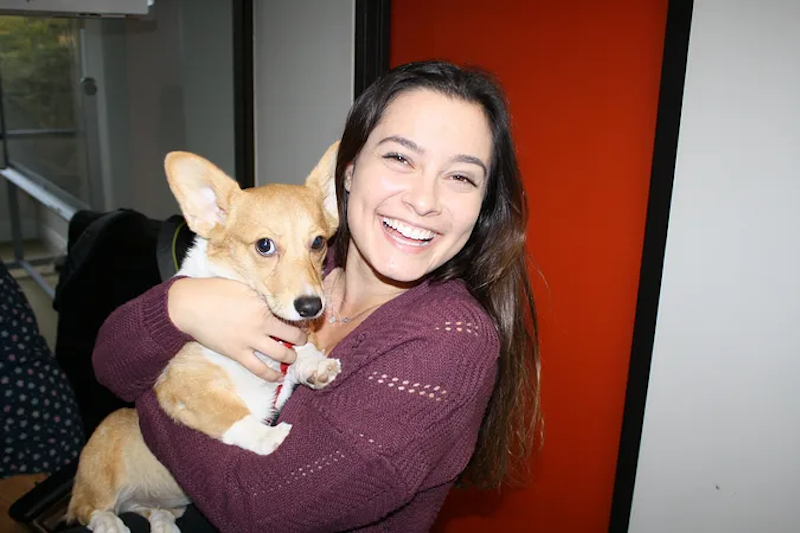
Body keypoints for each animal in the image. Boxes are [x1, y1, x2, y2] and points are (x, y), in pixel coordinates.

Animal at [67, 141, 342, 532]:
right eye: (264, 246)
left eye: (318, 243)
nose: (310, 306)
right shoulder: (184, 386)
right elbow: (229, 414)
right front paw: (270, 437)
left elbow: (299, 353)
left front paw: (315, 365)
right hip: (102, 459)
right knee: (90, 508)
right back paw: (110, 524)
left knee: (151, 509)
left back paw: (163, 522)